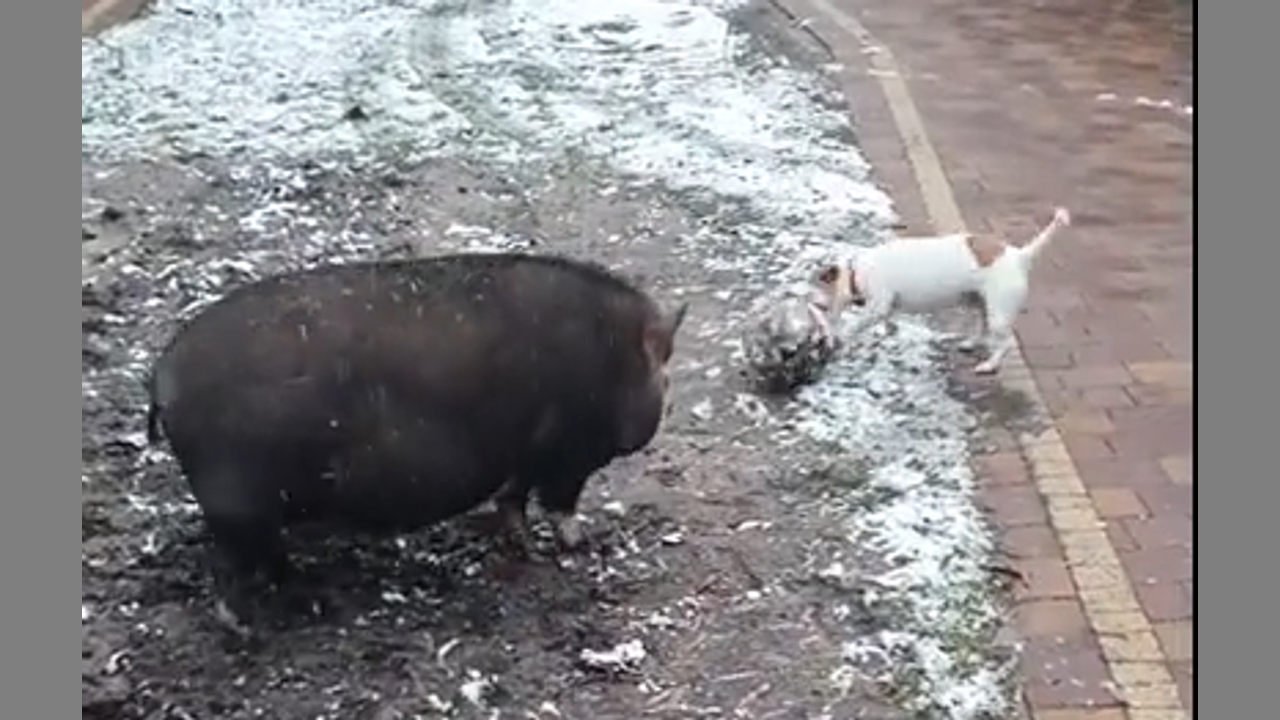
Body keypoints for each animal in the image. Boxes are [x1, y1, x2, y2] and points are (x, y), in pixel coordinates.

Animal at [146, 252, 688, 627]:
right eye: (664, 374)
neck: (616, 356)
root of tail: (163, 374)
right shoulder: (568, 453)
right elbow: (559, 504)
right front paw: (582, 547)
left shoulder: (530, 459)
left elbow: (514, 498)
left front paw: (526, 546)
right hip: (238, 503)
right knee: (234, 568)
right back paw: (258, 620)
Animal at [811, 207, 1071, 374]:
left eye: (821, 296)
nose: (816, 309)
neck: (857, 273)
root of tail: (1020, 256)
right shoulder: (884, 309)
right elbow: (886, 321)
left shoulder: (878, 305)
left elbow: (855, 325)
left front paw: (840, 336)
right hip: (979, 303)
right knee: (982, 327)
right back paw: (970, 343)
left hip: (999, 311)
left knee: (1004, 342)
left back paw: (989, 365)